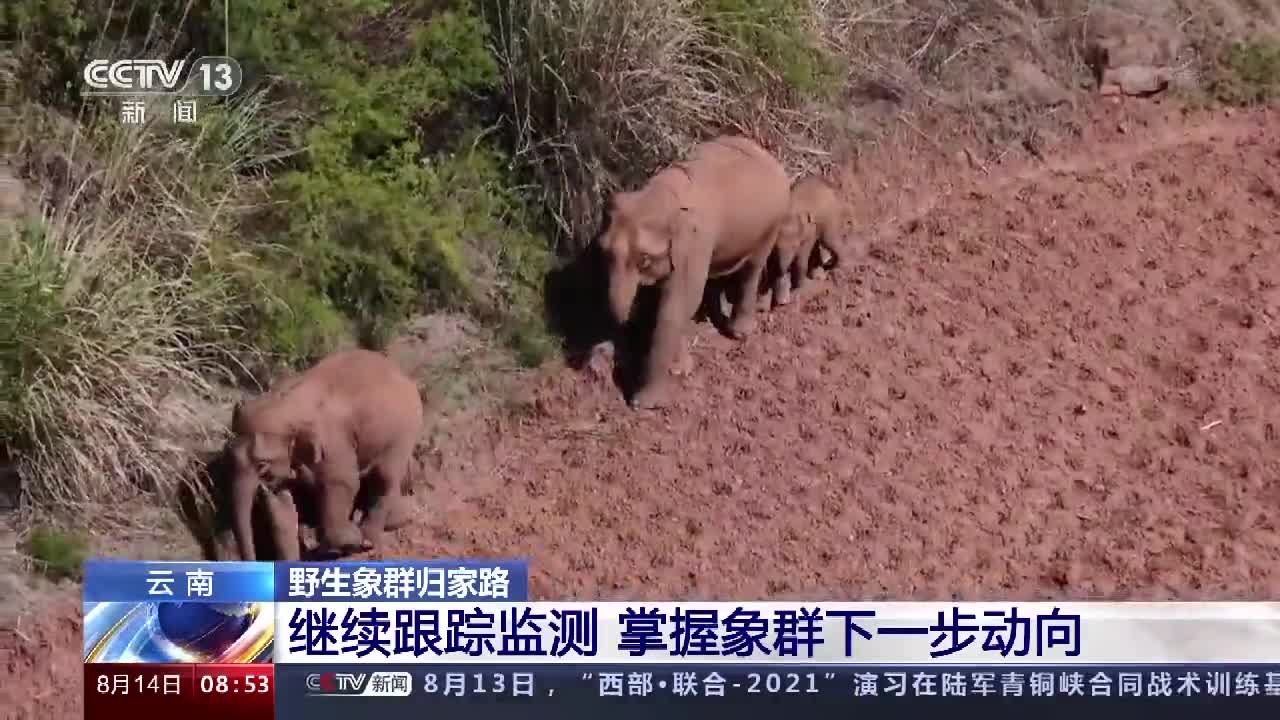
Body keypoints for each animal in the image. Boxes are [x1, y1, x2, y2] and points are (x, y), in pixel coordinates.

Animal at [773, 176, 855, 308]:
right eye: (775, 247)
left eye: (795, 246)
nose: (782, 303)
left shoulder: (808, 231)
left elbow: (802, 256)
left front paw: (800, 288)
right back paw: (819, 276)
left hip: (830, 216)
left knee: (829, 240)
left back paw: (840, 267)